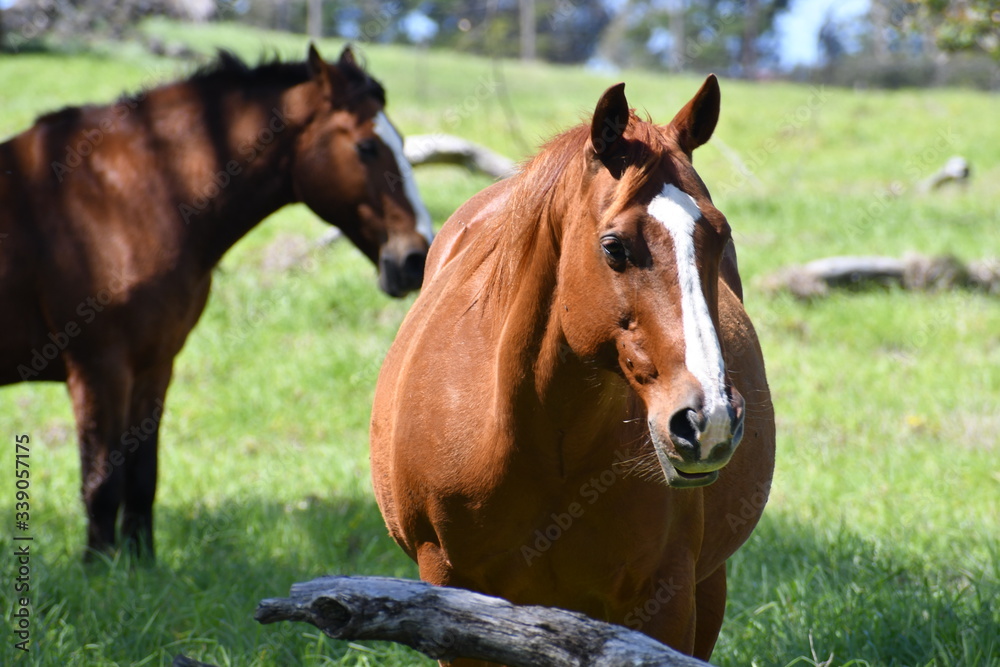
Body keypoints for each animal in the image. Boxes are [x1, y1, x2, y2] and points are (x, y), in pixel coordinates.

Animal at [0, 44, 432, 560]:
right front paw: (98, 568)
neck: (126, 193)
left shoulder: (153, 366)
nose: (416, 257)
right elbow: (101, 484)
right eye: (367, 146)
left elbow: (142, 478)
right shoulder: (98, 369)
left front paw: (140, 565)